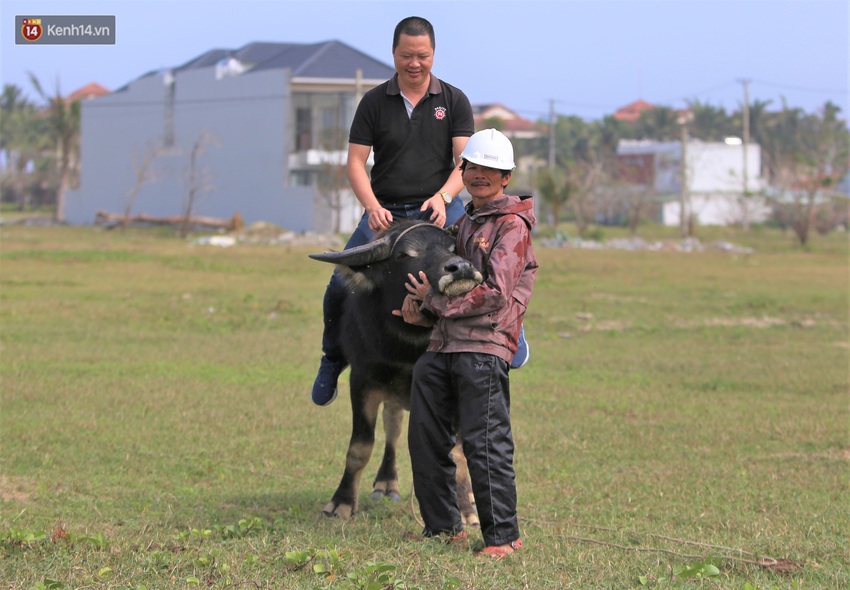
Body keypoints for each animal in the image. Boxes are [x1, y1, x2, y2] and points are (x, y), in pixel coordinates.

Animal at [310, 221, 484, 524]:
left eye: (453, 248)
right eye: (406, 255)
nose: (460, 267)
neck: (407, 348)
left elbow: (457, 452)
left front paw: (464, 508)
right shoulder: (362, 380)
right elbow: (360, 446)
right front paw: (341, 503)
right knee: (392, 427)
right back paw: (386, 483)